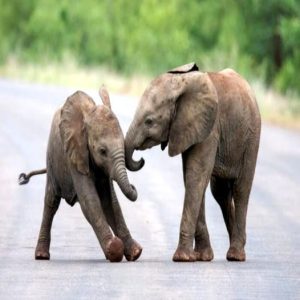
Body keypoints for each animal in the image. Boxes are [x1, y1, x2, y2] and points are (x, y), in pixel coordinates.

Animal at [19, 87, 143, 262]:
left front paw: (135, 253)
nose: (133, 186)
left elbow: (110, 202)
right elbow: (90, 199)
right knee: (51, 202)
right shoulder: (75, 154)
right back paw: (41, 256)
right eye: (102, 151)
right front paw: (114, 249)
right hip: (52, 159)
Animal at [124, 62, 260, 262]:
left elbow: (195, 176)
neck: (182, 84)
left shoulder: (210, 127)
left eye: (149, 121)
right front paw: (202, 257)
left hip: (251, 138)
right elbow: (192, 177)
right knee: (220, 192)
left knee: (241, 189)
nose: (140, 160)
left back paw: (236, 255)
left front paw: (182, 258)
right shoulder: (187, 128)